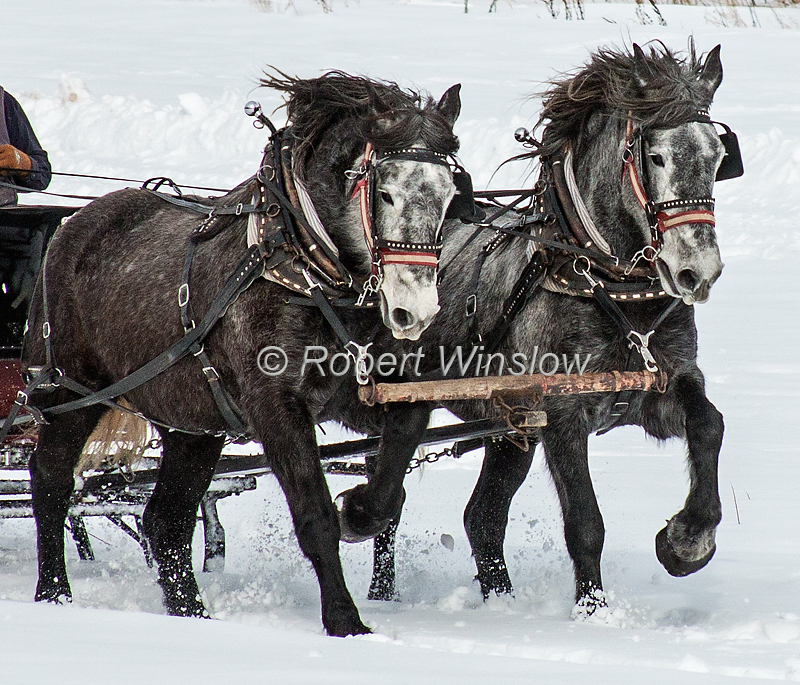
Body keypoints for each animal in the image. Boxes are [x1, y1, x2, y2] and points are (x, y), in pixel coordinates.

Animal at [21, 71, 466, 636]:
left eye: (450, 195)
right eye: (384, 193)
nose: (415, 309)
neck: (304, 267)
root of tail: (73, 226)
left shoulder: (376, 395)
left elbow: (392, 474)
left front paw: (359, 509)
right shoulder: (275, 408)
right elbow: (314, 513)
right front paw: (345, 619)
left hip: (191, 423)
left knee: (164, 519)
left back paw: (191, 611)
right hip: (70, 393)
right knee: (52, 481)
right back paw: (54, 593)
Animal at [325, 42, 732, 613]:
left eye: (718, 156)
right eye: (656, 157)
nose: (699, 271)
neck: (608, 287)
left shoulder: (664, 384)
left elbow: (708, 424)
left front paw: (688, 539)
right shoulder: (561, 410)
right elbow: (585, 522)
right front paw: (592, 610)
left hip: (508, 430)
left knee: (481, 516)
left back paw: (498, 600)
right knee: (393, 493)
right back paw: (381, 581)